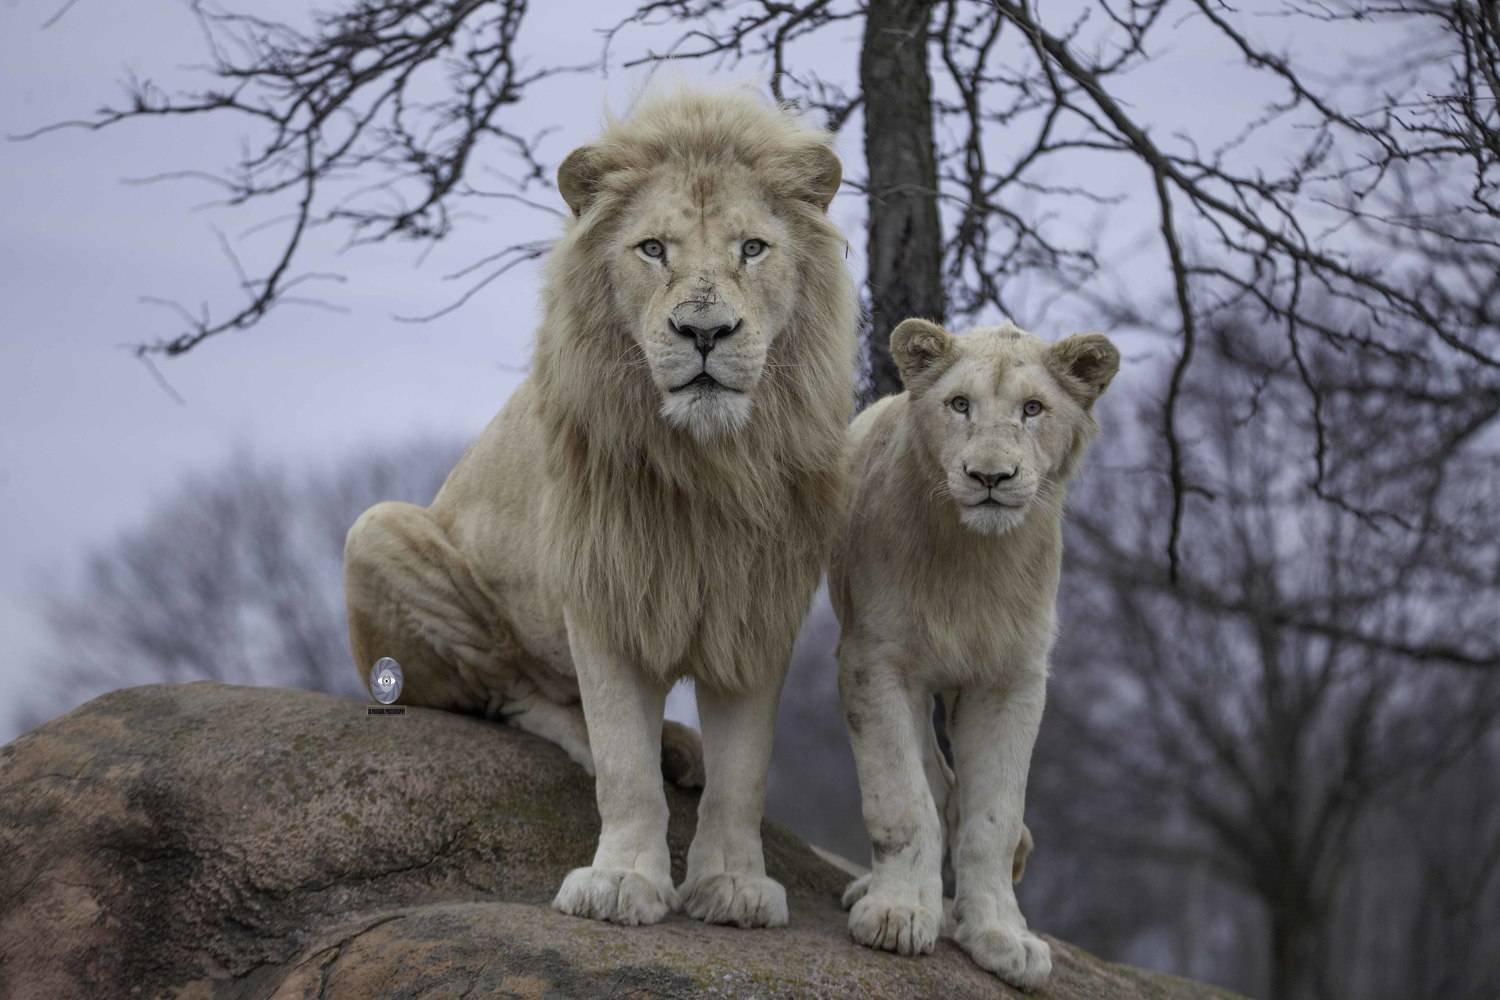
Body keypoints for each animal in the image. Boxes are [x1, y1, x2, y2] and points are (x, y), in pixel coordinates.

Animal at [342, 87, 855, 929]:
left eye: (752, 248)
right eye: (652, 249)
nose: (705, 330)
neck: (708, 460)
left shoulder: (756, 603)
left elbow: (745, 770)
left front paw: (733, 885)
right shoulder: (604, 586)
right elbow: (622, 761)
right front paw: (620, 883)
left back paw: (681, 747)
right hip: (378, 530)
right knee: (513, 693)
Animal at [831, 319, 1119, 989]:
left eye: (1033, 409)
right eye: (959, 405)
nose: (991, 477)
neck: (976, 561)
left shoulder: (1011, 681)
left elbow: (994, 820)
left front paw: (1002, 938)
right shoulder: (874, 662)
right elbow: (902, 799)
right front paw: (896, 913)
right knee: (931, 787)